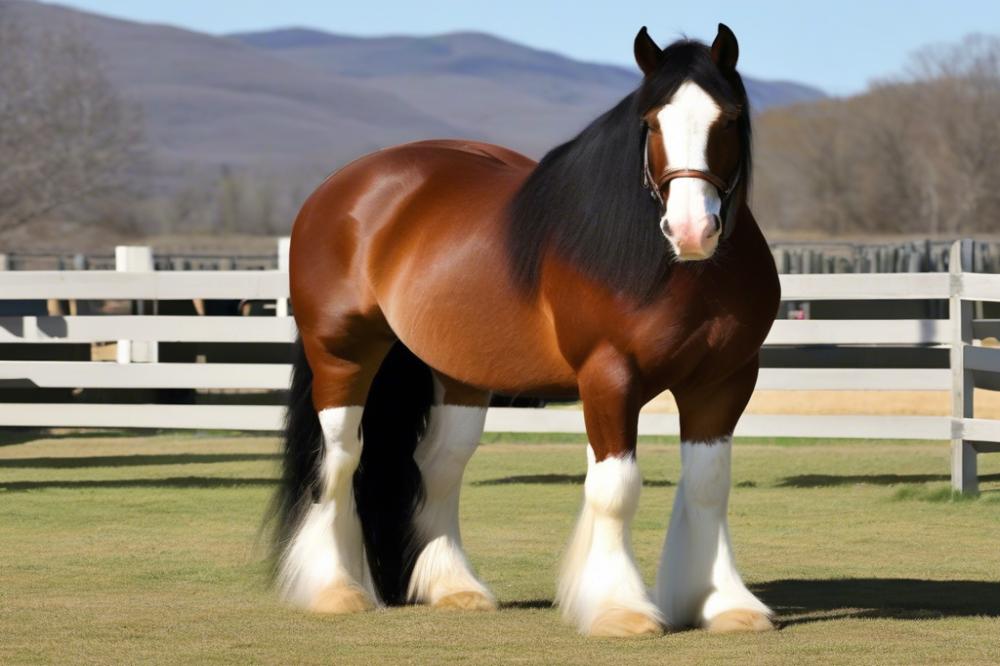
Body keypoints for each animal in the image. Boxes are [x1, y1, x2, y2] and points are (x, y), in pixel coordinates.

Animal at [272, 24, 780, 640]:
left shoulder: (723, 381)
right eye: (652, 121)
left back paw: (454, 588)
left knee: (439, 467)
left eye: (727, 118)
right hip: (342, 356)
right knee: (340, 460)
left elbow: (708, 485)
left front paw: (722, 603)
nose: (691, 231)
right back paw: (334, 590)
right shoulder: (609, 377)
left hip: (459, 375)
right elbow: (615, 490)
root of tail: (340, 189)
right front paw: (620, 609)